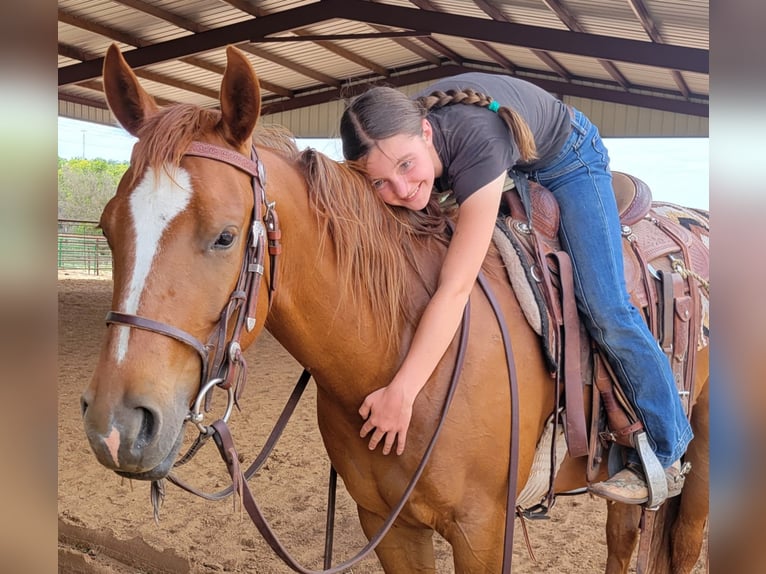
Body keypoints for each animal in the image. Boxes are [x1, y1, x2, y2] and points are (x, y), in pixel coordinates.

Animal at [81, 46, 712, 574]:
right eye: (107, 228)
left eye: (225, 236)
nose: (116, 426)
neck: (404, 361)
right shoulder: (388, 527)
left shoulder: (483, 532)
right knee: (623, 537)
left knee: (683, 542)